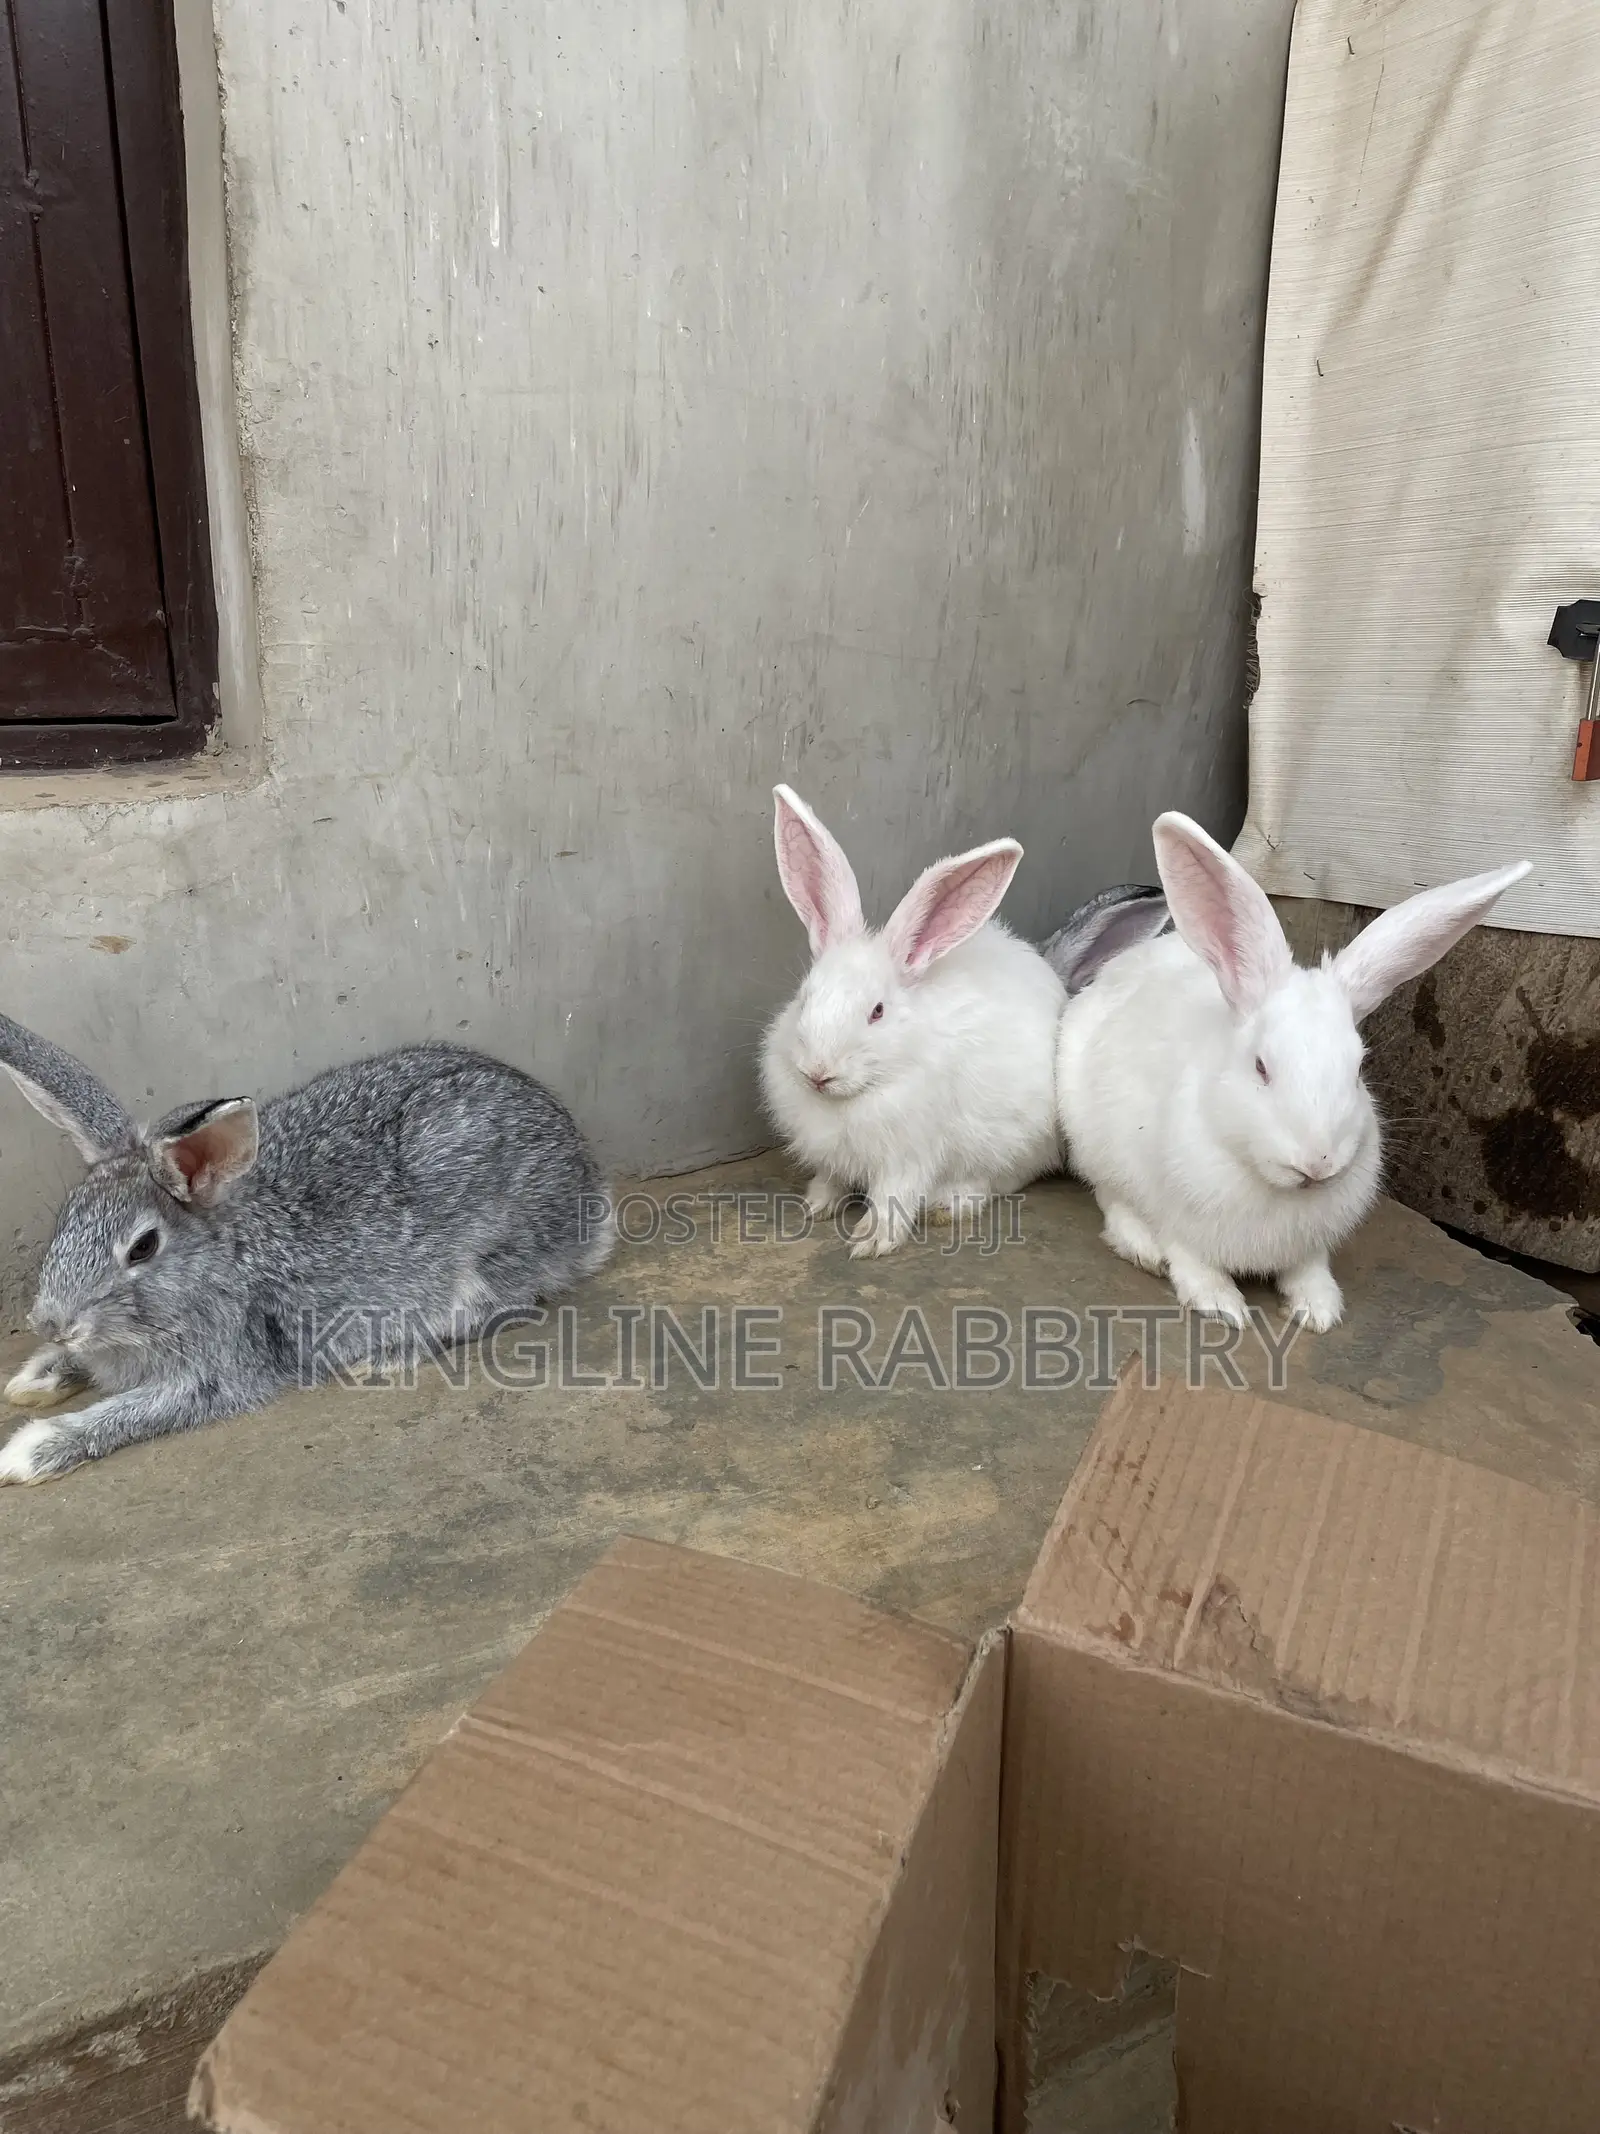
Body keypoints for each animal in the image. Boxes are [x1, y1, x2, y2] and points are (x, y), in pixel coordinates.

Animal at [0, 1023, 615, 1484]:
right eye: (65, 1218)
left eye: (143, 1247)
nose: (50, 1322)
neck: (221, 1260)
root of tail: (588, 1191)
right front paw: (33, 1380)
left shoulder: (219, 1371)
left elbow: (127, 1415)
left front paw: (25, 1453)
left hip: (488, 1249)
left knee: (498, 1308)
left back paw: (386, 1356)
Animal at [760, 784, 1066, 1257]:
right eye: (805, 996)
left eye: (877, 1012)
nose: (818, 1073)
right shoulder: (832, 1157)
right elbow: (831, 1179)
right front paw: (816, 1206)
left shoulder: (908, 1157)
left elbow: (893, 1196)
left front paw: (871, 1241)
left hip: (1020, 1143)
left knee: (999, 1179)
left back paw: (950, 1203)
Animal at [1056, 812, 1530, 1330]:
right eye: (1261, 1067)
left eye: (1359, 1068)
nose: (1317, 1164)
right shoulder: (1179, 1220)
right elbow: (1191, 1261)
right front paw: (1222, 1307)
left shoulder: (1310, 1247)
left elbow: (1308, 1270)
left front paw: (1318, 1310)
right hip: (1089, 1136)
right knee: (1109, 1195)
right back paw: (1141, 1246)